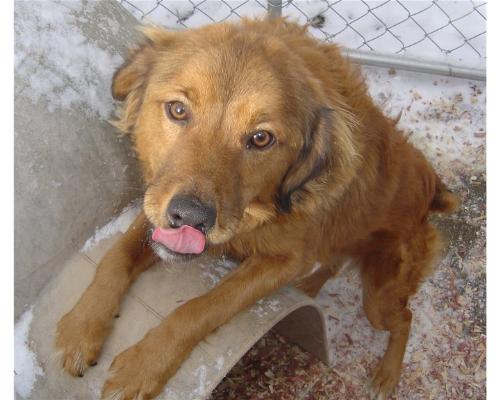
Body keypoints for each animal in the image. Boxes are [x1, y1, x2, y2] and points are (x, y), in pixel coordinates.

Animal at [55, 17, 459, 399]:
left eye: (261, 138)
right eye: (178, 110)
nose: (190, 218)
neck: (255, 213)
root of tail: (433, 188)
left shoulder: (280, 263)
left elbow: (201, 308)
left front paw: (142, 366)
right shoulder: (157, 203)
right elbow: (116, 256)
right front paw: (80, 327)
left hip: (379, 295)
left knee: (404, 317)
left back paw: (386, 376)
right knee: (334, 261)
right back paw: (311, 286)